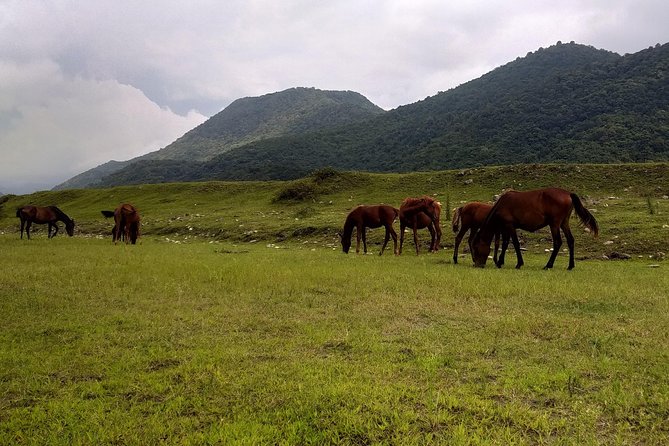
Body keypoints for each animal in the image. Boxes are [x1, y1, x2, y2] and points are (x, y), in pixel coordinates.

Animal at [470, 187, 600, 270]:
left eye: (476, 248)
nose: (477, 265)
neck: (501, 204)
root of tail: (568, 194)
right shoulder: (505, 228)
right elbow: (505, 243)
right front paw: (500, 262)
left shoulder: (509, 226)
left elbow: (515, 243)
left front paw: (518, 263)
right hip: (564, 223)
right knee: (570, 240)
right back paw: (570, 266)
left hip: (554, 224)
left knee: (557, 242)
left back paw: (548, 265)